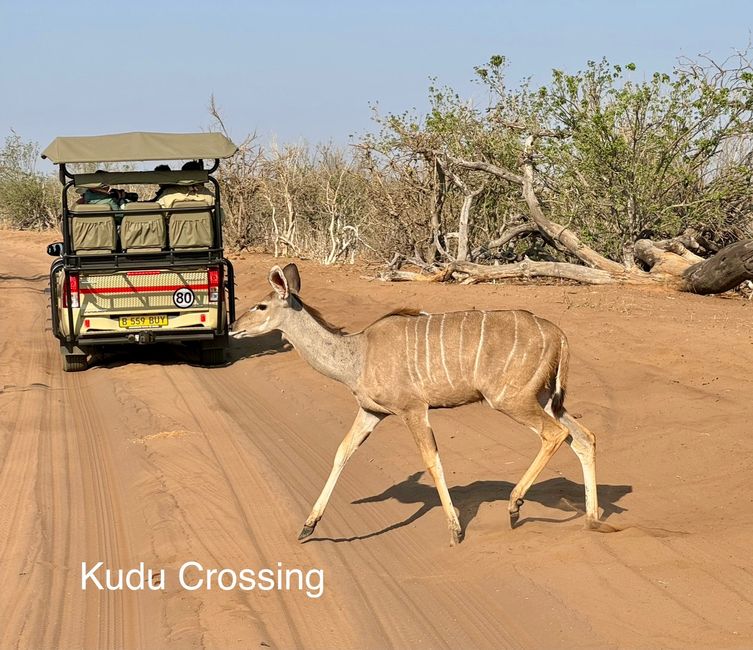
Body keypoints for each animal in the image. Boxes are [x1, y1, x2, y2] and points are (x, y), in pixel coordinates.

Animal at [232, 262, 604, 540]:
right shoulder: (370, 412)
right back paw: (593, 519)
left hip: (511, 400)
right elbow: (342, 452)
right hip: (544, 399)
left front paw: (455, 529)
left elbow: (431, 459)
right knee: (584, 437)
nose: (235, 326)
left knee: (555, 435)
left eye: (261, 305)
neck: (357, 354)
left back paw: (515, 504)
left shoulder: (413, 409)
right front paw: (308, 526)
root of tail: (558, 334)